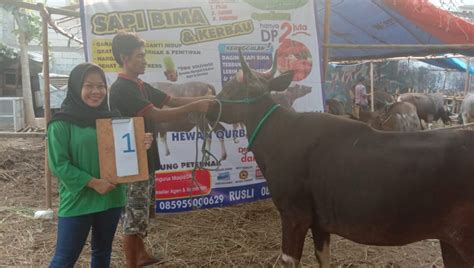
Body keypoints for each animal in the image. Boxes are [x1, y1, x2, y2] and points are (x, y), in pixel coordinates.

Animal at [209, 51, 474, 266]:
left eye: (230, 87)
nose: (210, 108)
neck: (277, 134)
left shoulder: (294, 214)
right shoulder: (319, 222)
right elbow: (323, 257)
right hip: (450, 243)